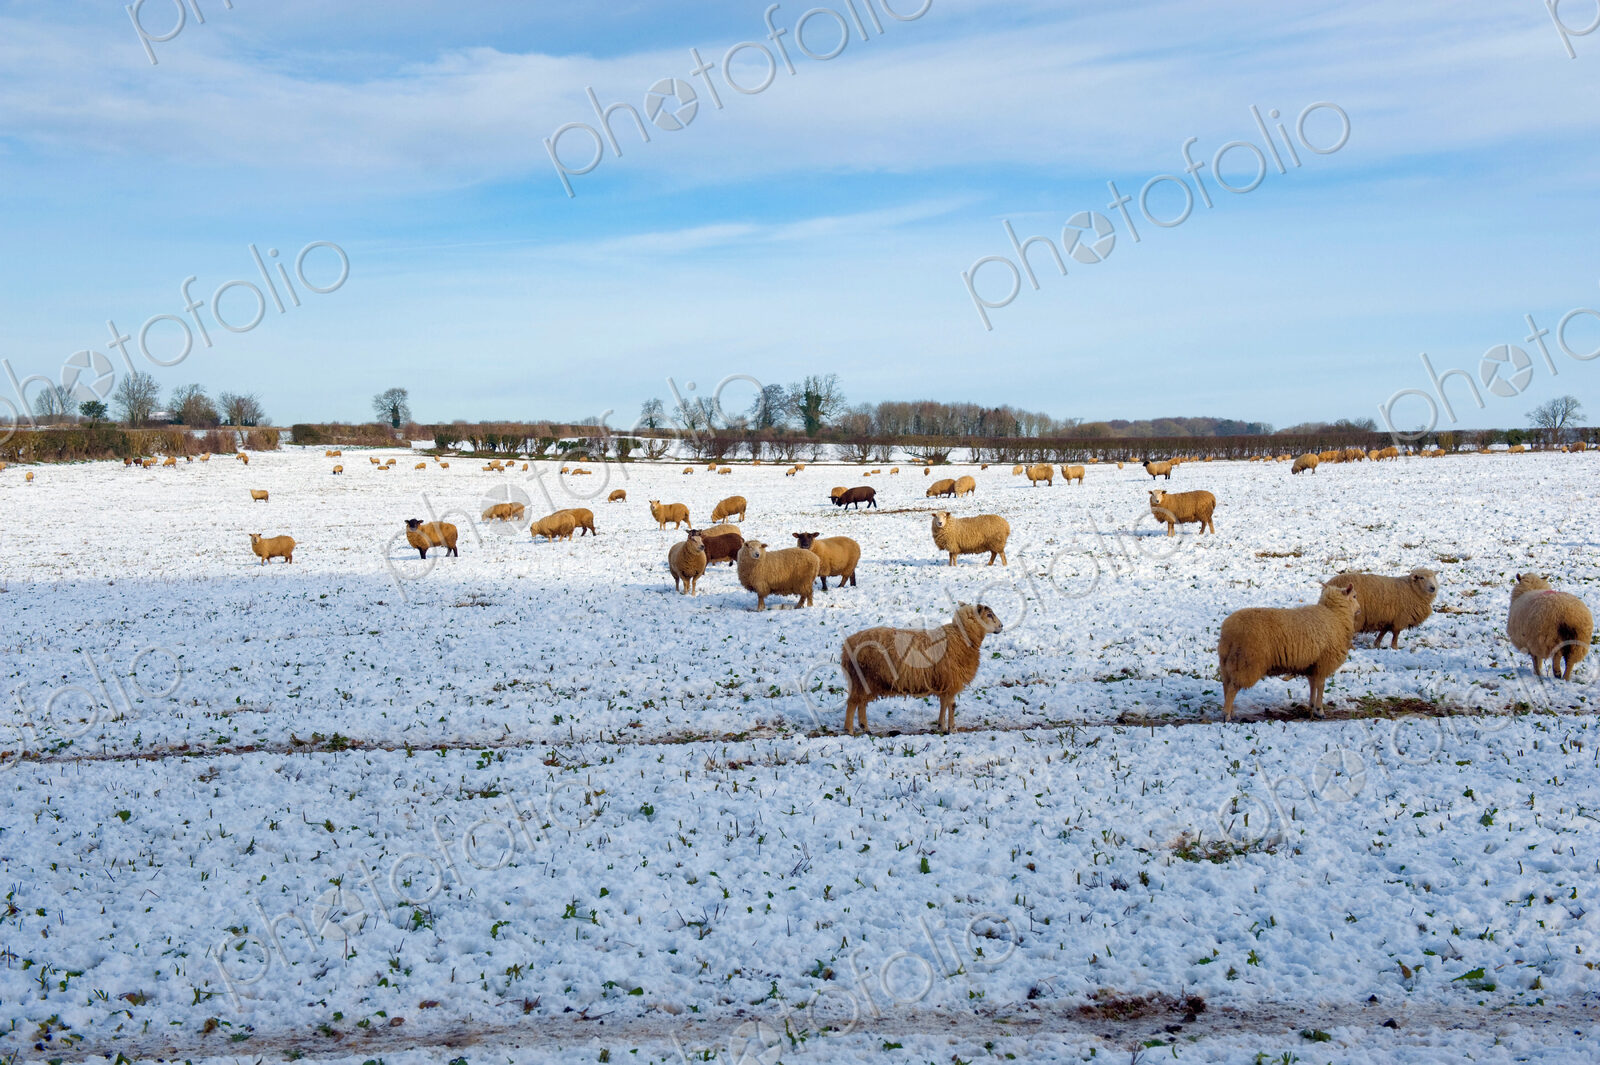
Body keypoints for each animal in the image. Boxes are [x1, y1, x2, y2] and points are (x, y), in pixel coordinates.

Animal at [840, 602, 1003, 734]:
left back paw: (865, 728)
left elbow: (943, 704)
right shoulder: (952, 681)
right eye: (989, 615)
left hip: (867, 681)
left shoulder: (944, 681)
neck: (961, 638)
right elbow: (952, 705)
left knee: (861, 703)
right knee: (853, 703)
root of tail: (847, 645)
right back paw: (849, 730)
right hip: (862, 679)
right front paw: (952, 729)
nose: (1002, 626)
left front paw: (941, 726)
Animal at [1217, 583, 1361, 721]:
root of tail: (1229, 629)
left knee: (1226, 686)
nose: (1359, 609)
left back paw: (1231, 712)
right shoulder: (1323, 662)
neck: (1335, 616)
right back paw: (1226, 715)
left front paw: (1311, 705)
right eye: (1354, 596)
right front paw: (1319, 710)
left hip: (1227, 661)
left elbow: (1313, 685)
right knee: (1233, 688)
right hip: (1246, 662)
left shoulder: (1312, 664)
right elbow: (1321, 686)